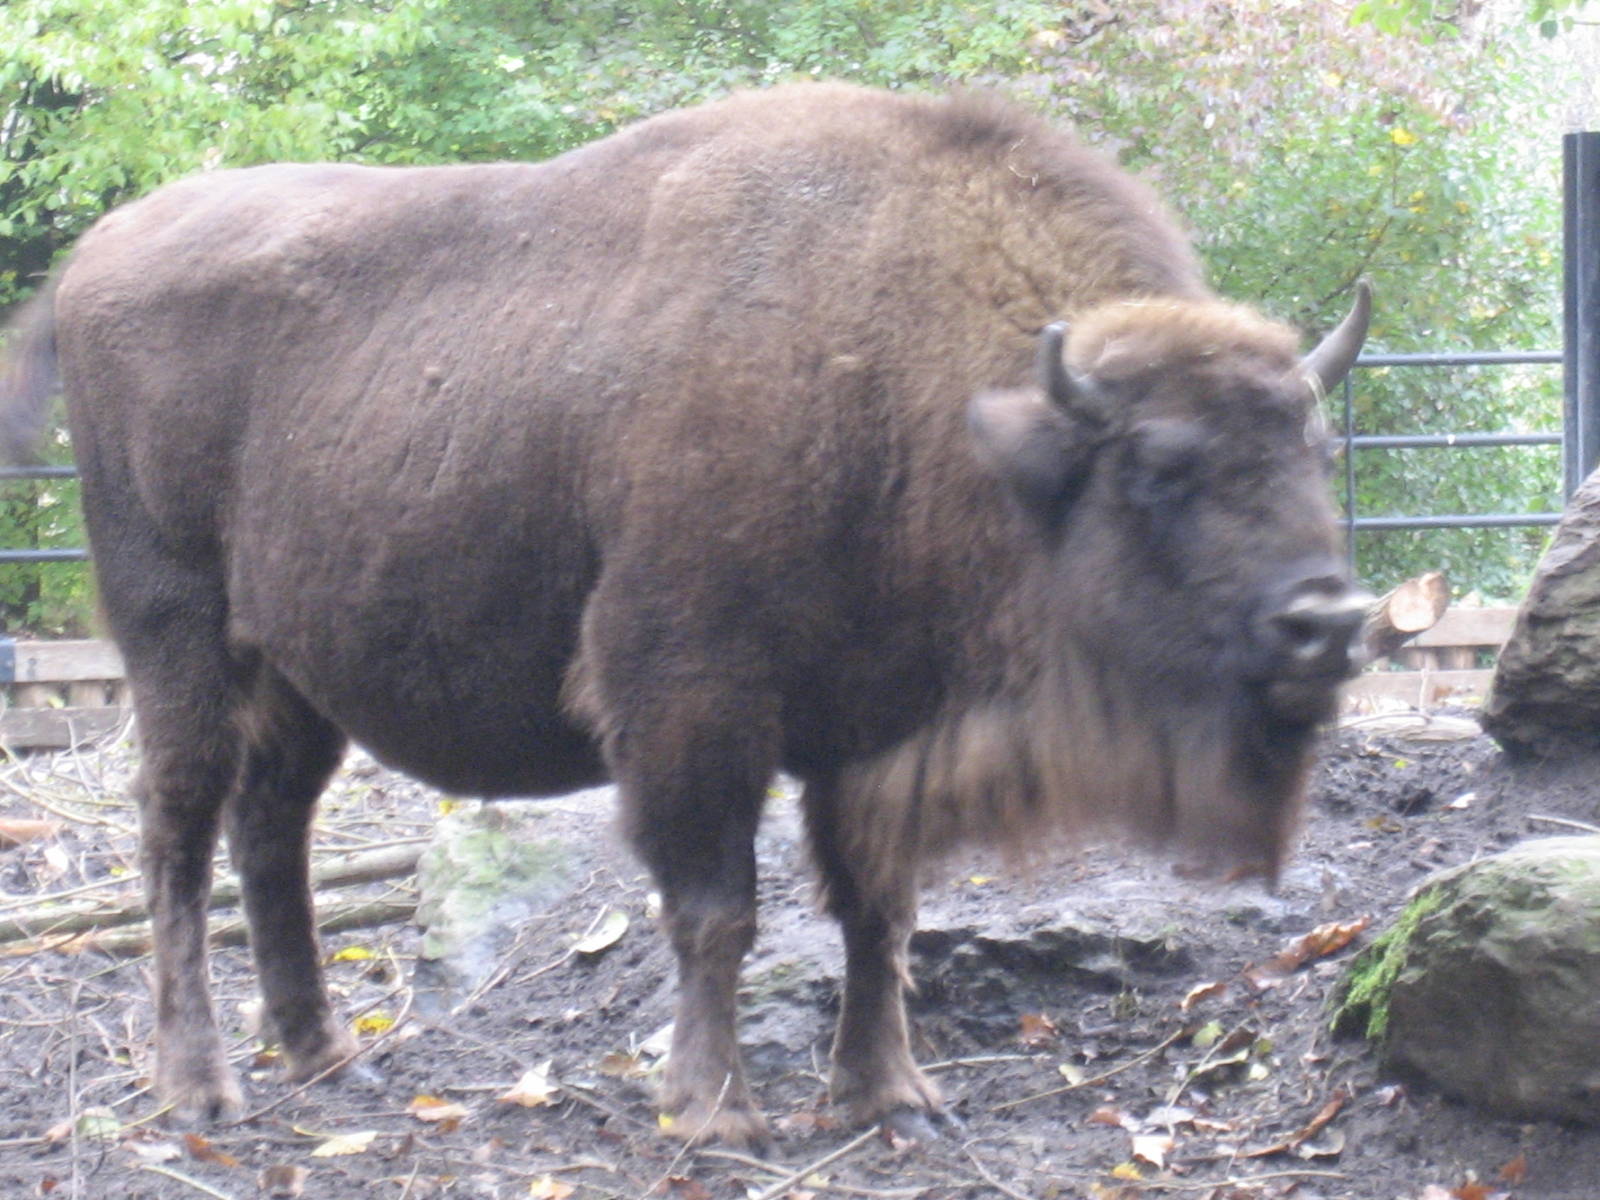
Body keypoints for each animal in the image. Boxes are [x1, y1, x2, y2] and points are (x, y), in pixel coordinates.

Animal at [0, 82, 1369, 1145]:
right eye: (1161, 469)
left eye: (1314, 450)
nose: (1330, 622)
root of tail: (96, 255)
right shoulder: (690, 699)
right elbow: (718, 908)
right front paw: (711, 1109)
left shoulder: (873, 732)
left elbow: (878, 911)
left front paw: (891, 1096)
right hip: (178, 636)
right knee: (177, 832)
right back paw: (199, 1088)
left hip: (299, 668)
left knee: (270, 829)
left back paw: (326, 1053)